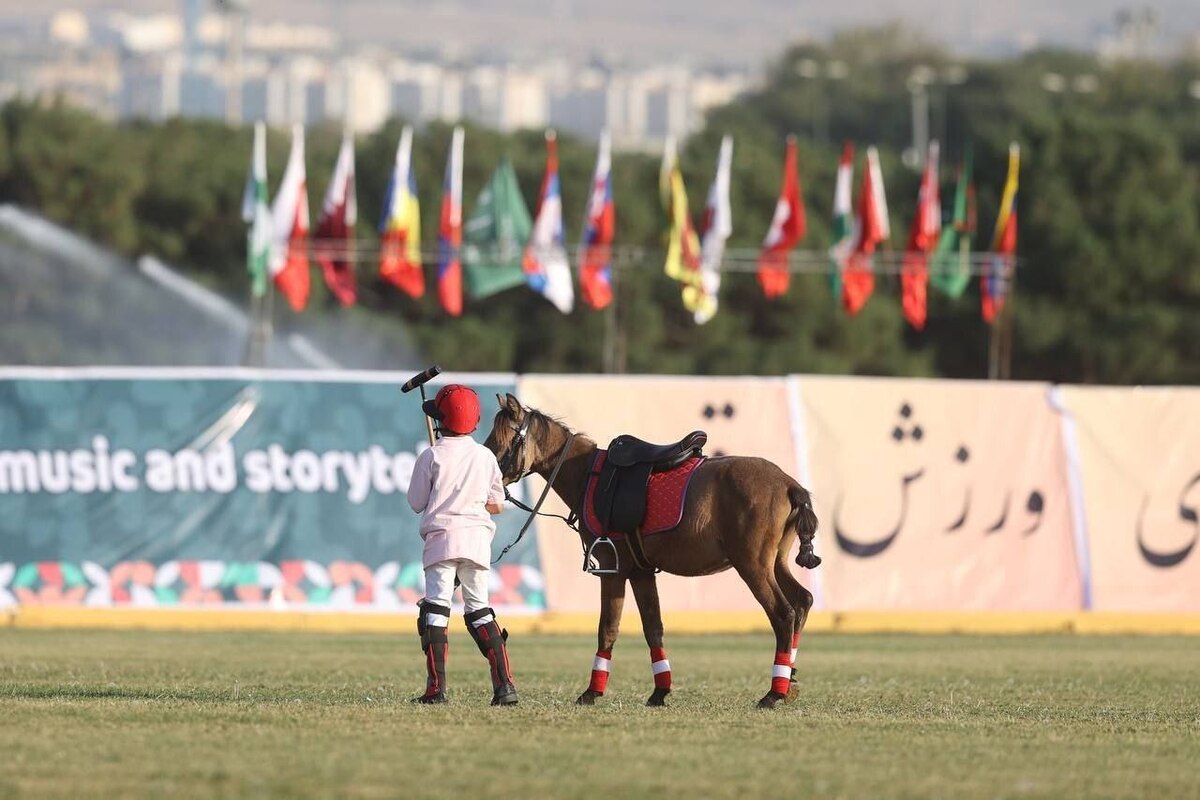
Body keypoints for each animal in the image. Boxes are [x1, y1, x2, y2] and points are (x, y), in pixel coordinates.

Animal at [482, 391, 820, 710]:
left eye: (498, 440)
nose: (489, 479)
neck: (586, 474)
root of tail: (790, 484)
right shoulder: (641, 572)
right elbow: (653, 628)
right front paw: (660, 691)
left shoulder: (613, 569)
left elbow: (608, 628)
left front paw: (592, 691)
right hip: (774, 562)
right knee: (803, 600)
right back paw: (789, 679)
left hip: (752, 564)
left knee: (784, 613)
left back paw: (774, 692)